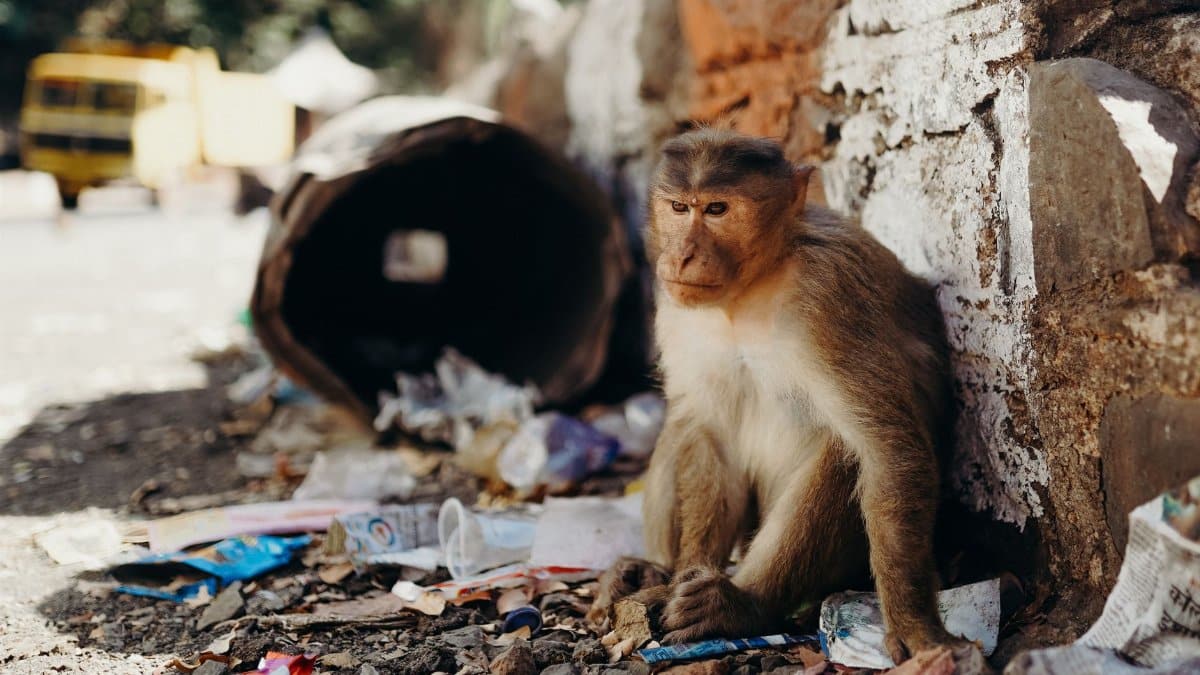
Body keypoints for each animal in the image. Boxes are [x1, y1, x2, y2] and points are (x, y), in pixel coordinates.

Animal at [588, 129, 963, 663]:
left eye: (717, 209)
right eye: (679, 207)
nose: (681, 256)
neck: (752, 286)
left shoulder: (829, 296)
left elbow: (887, 449)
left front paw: (914, 624)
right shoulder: (674, 302)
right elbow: (709, 430)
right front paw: (686, 572)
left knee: (842, 452)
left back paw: (741, 604)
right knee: (683, 424)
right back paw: (650, 572)